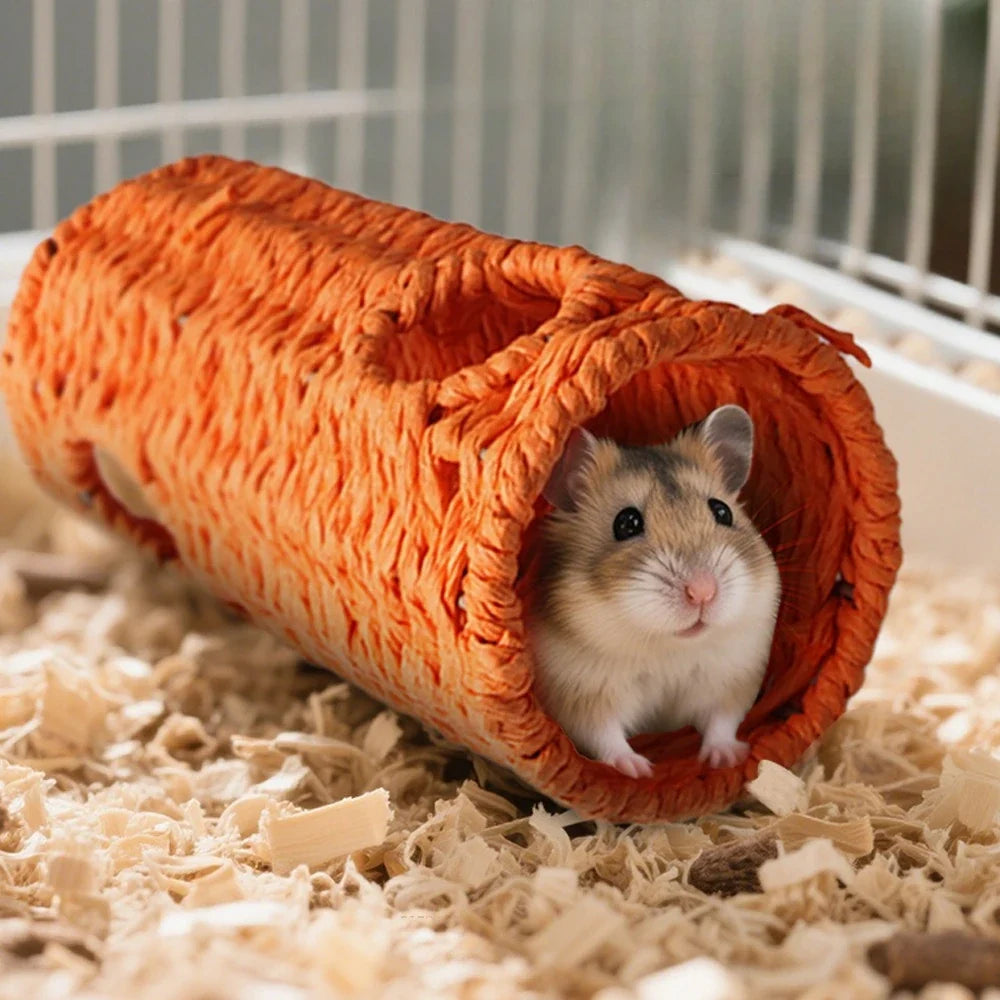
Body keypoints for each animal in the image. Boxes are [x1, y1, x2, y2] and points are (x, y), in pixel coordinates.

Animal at [527, 405, 781, 779]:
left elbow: (721, 721)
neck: (666, 646)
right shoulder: (581, 690)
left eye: (721, 511)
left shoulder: (732, 675)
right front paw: (638, 770)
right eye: (626, 523)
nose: (702, 592)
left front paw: (726, 759)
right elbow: (605, 733)